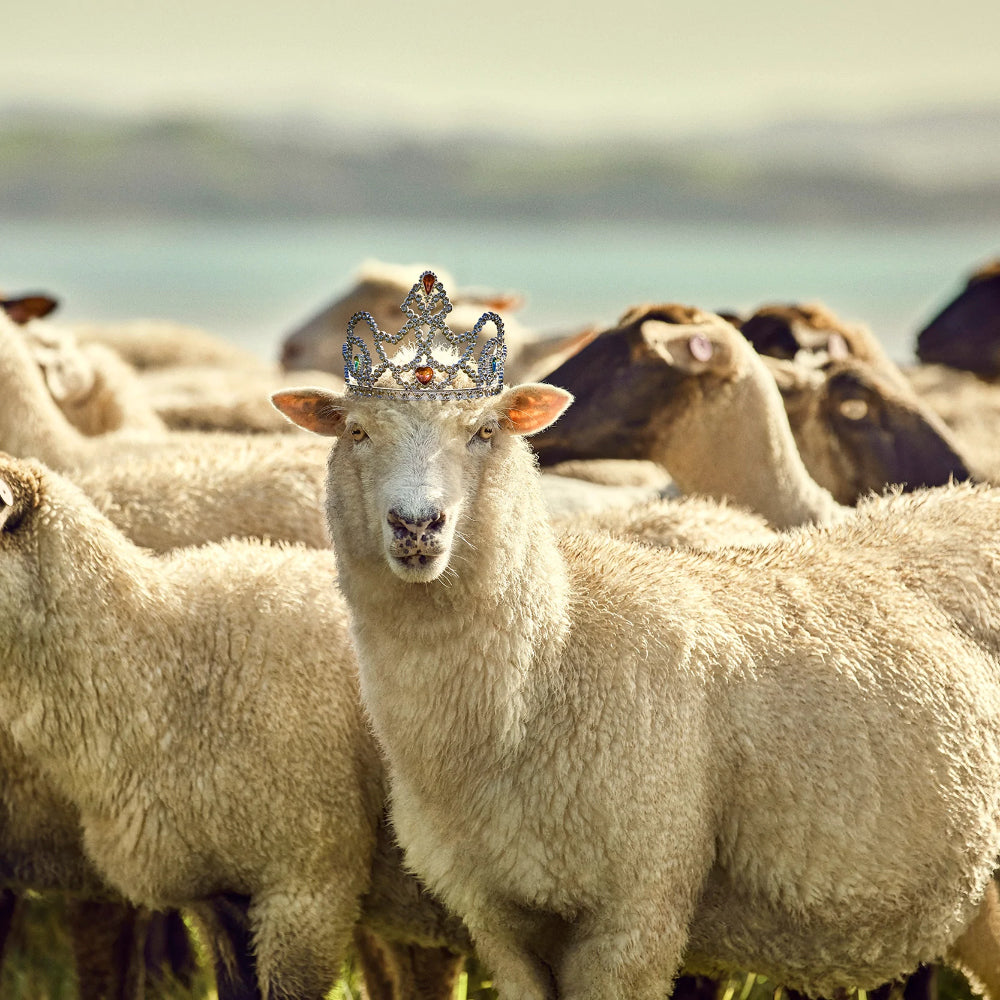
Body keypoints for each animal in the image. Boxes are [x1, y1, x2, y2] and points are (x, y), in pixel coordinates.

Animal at [273, 374, 1000, 1000]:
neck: (552, 661)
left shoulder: (638, 903)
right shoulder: (499, 916)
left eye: (484, 431)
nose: (417, 524)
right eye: (358, 432)